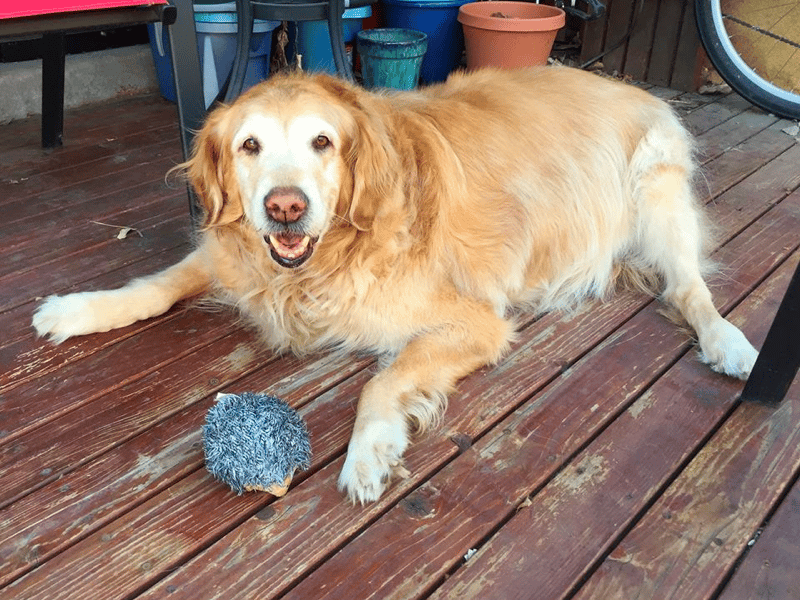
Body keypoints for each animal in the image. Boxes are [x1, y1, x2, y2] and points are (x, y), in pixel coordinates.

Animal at [29, 68, 756, 504]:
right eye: (249, 147)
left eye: (322, 142)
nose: (284, 208)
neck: (321, 263)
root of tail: (630, 83)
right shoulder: (236, 253)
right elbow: (154, 286)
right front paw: (75, 308)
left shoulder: (476, 321)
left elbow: (381, 381)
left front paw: (367, 453)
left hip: (657, 192)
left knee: (689, 290)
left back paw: (730, 345)